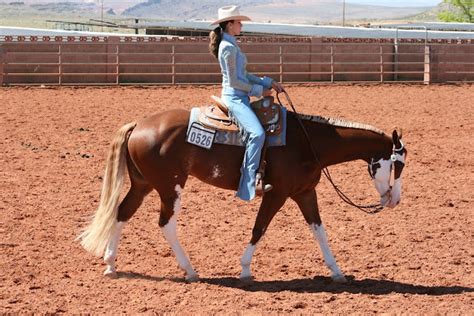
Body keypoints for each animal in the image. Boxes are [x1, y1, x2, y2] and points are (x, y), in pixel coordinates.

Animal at [78, 107, 408, 282]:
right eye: (397, 164)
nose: (394, 201)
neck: (307, 142)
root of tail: (139, 125)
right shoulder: (278, 194)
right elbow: (259, 229)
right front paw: (245, 269)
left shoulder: (305, 193)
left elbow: (319, 231)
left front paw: (337, 271)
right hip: (170, 187)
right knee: (166, 224)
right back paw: (190, 270)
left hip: (144, 185)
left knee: (122, 213)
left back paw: (111, 264)